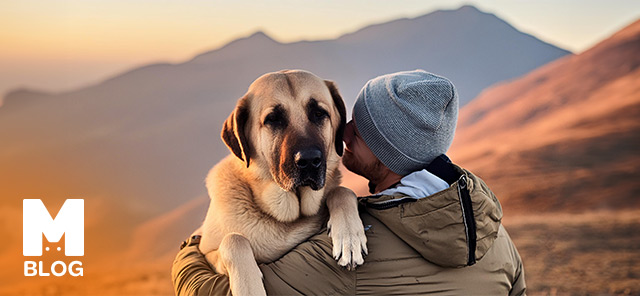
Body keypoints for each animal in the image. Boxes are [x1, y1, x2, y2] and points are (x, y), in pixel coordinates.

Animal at [200, 70, 370, 294]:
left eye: (319, 113)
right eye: (273, 119)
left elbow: (341, 191)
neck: (287, 218)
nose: (309, 160)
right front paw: (249, 289)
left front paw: (350, 237)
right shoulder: (206, 253)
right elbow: (234, 240)